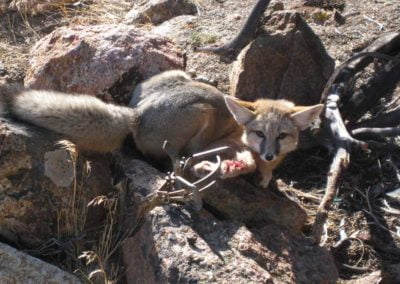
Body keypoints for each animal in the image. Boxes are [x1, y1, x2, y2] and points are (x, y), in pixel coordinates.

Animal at [0, 70, 324, 187]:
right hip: (203, 112)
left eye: (282, 136)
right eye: (259, 134)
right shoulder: (227, 145)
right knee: (177, 155)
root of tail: (137, 112)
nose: (269, 154)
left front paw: (264, 176)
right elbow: (243, 162)